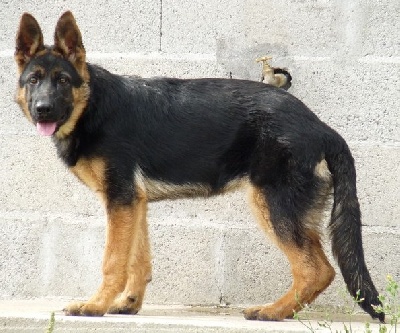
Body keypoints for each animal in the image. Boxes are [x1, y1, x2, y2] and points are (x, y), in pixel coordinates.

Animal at [14, 11, 384, 320]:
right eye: (33, 80)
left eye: (63, 81)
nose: (42, 110)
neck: (91, 106)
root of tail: (321, 128)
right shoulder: (134, 202)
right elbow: (138, 260)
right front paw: (127, 304)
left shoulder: (120, 200)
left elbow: (114, 261)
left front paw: (95, 306)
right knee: (318, 269)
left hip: (273, 206)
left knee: (316, 270)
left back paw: (272, 312)